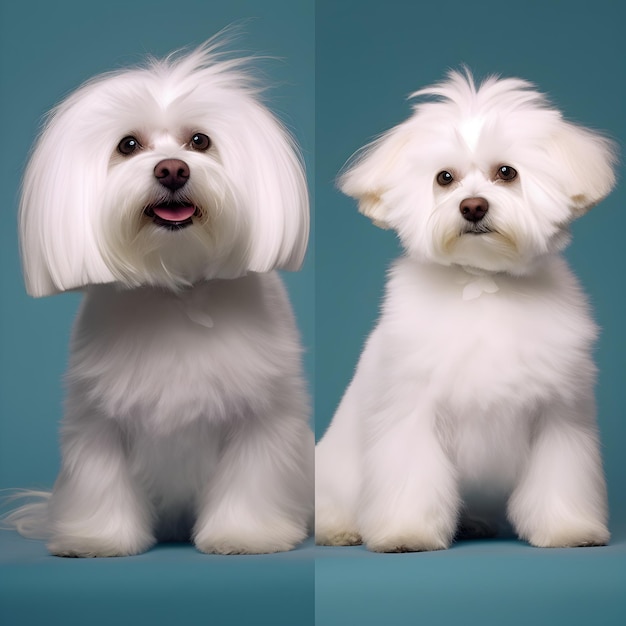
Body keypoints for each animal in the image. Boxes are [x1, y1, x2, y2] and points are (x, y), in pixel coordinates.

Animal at [7, 37, 312, 556]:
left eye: (200, 141)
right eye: (128, 145)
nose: (172, 169)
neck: (176, 286)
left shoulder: (261, 416)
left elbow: (250, 479)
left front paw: (243, 534)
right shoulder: (98, 421)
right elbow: (101, 477)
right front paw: (97, 538)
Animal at [316, 70, 616, 552]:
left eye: (506, 173)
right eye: (444, 178)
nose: (473, 206)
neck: (483, 282)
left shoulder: (560, 417)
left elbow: (559, 478)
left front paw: (567, 528)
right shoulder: (412, 413)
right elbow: (410, 478)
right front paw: (406, 532)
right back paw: (341, 529)